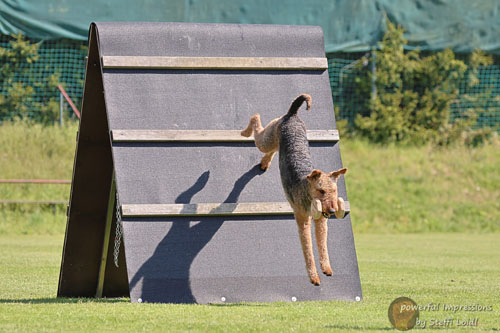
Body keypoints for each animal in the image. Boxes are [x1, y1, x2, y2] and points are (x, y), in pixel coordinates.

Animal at [241, 94, 344, 286]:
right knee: (257, 122)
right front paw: (314, 277)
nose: (332, 211)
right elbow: (309, 251)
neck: (305, 187)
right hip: (267, 138)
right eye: (321, 191)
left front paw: (326, 268)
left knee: (271, 150)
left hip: (276, 141)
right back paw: (245, 132)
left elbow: (323, 246)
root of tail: (293, 114)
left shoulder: (320, 222)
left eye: (334, 191)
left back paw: (264, 164)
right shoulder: (303, 221)